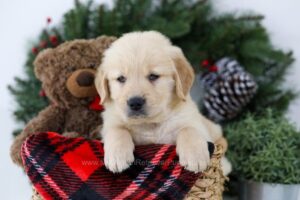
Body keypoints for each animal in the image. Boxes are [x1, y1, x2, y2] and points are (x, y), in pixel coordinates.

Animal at [95, 30, 231, 174]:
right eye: (121, 78)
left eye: (153, 76)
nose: (135, 102)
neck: (150, 124)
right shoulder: (110, 122)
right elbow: (117, 130)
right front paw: (117, 156)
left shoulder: (192, 120)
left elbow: (189, 129)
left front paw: (195, 156)